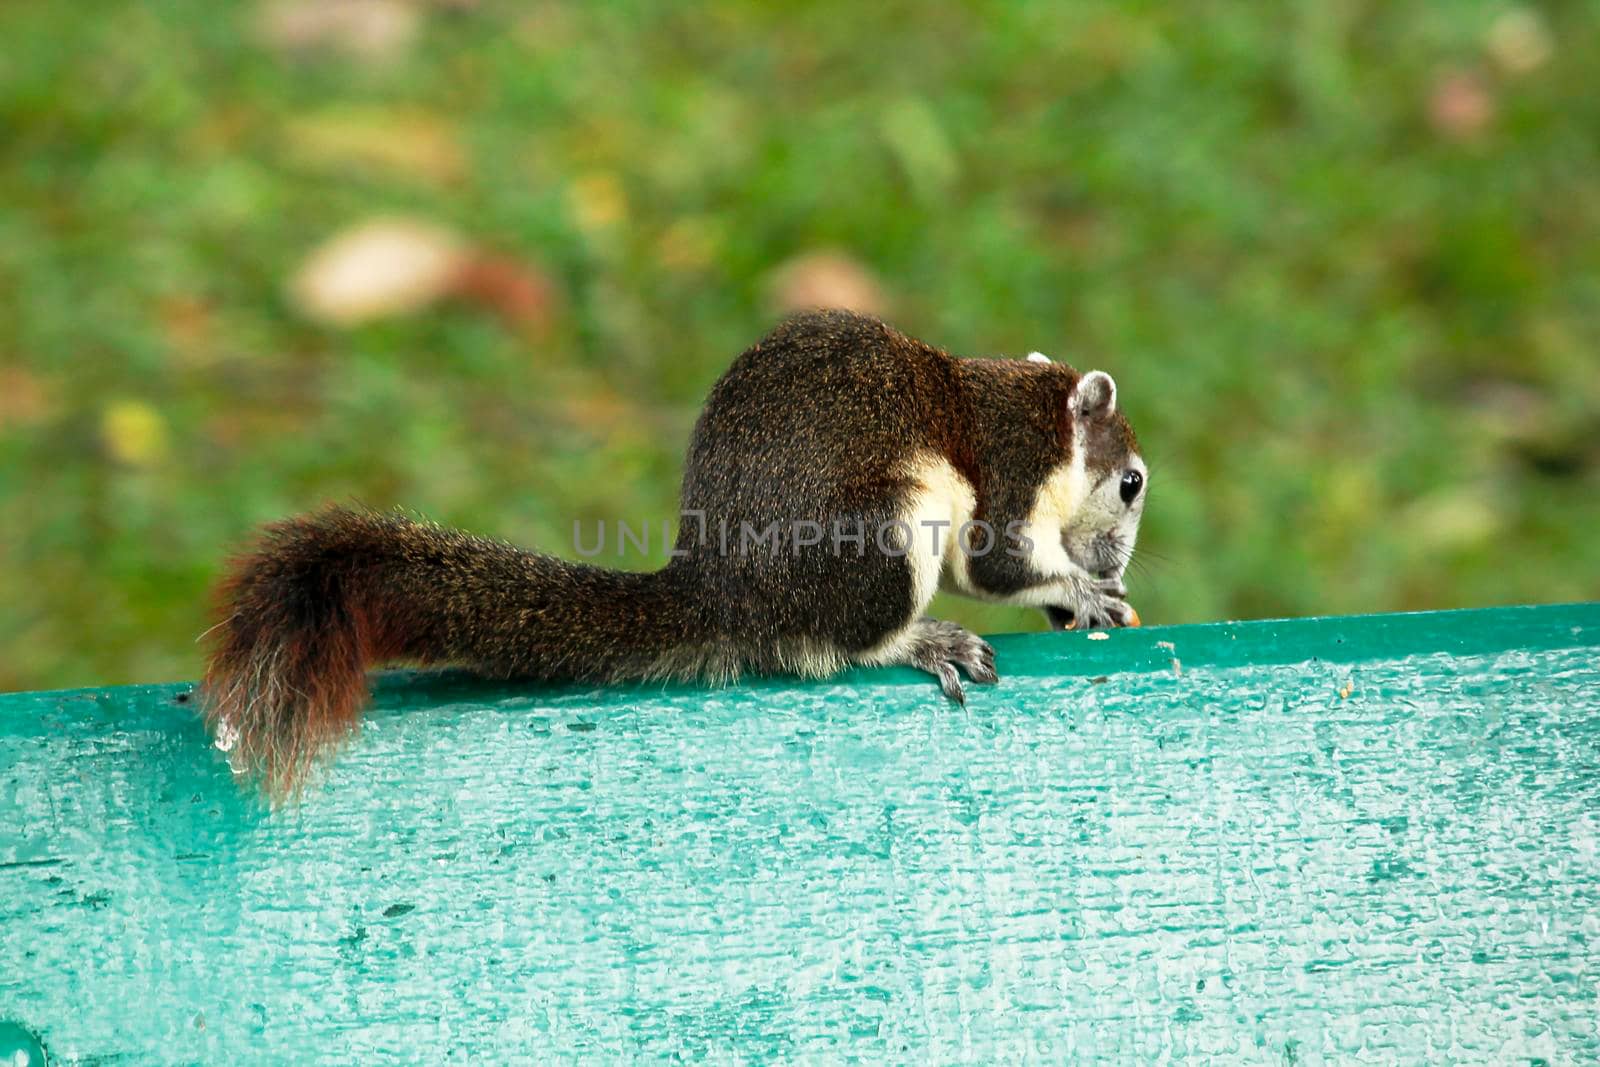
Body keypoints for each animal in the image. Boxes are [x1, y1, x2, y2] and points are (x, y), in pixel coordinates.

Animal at [203, 308, 1152, 793]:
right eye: (1132, 484)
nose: (1113, 565)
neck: (1032, 411)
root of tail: (725, 591)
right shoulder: (1010, 472)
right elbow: (994, 565)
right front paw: (1082, 590)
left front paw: (1080, 600)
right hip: (881, 534)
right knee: (841, 643)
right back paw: (922, 640)